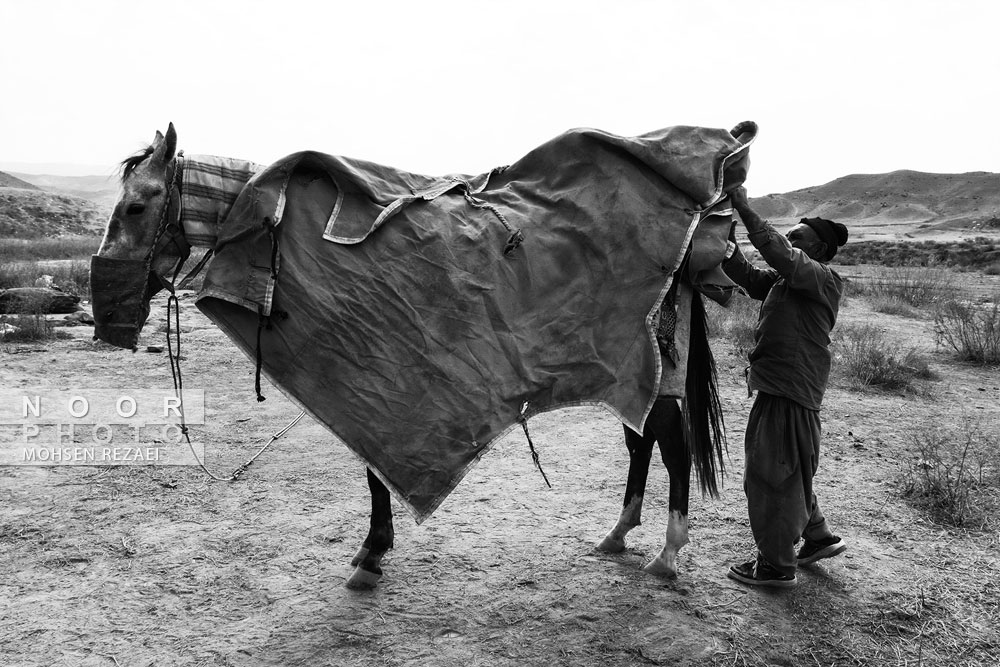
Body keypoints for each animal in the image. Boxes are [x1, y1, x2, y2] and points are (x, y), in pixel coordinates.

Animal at [95, 121, 752, 588]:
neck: (275, 220)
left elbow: (375, 469)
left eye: (136, 207)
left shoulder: (380, 382)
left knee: (673, 446)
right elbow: (375, 468)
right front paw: (374, 549)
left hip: (651, 365)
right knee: (643, 442)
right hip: (636, 373)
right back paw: (618, 533)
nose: (109, 322)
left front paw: (371, 554)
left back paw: (668, 553)